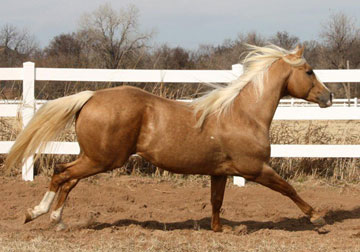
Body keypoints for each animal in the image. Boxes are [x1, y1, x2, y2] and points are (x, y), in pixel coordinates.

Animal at [5, 44, 332, 231]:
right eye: (309, 71)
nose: (328, 97)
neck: (243, 114)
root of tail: (91, 96)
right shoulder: (255, 169)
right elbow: (288, 189)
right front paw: (317, 217)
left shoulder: (220, 172)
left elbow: (216, 201)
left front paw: (220, 229)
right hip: (102, 159)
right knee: (63, 174)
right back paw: (42, 215)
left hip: (93, 157)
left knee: (66, 176)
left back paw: (53, 219)